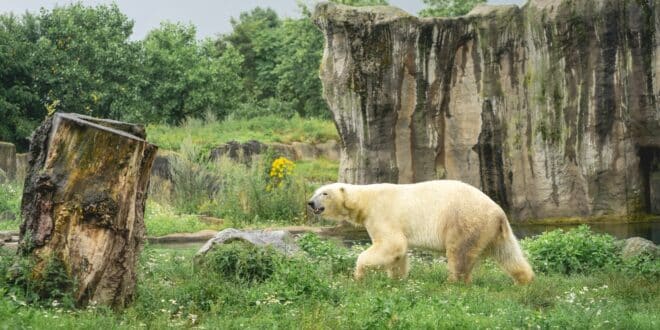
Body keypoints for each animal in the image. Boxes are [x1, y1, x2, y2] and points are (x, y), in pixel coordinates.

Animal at [306, 180, 532, 284]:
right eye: (315, 191)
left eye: (324, 193)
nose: (310, 203)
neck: (365, 200)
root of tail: (499, 212)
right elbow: (399, 252)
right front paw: (397, 279)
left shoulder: (382, 214)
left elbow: (391, 244)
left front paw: (359, 275)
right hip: (494, 230)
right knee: (508, 254)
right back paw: (524, 280)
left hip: (464, 221)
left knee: (459, 254)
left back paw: (453, 283)